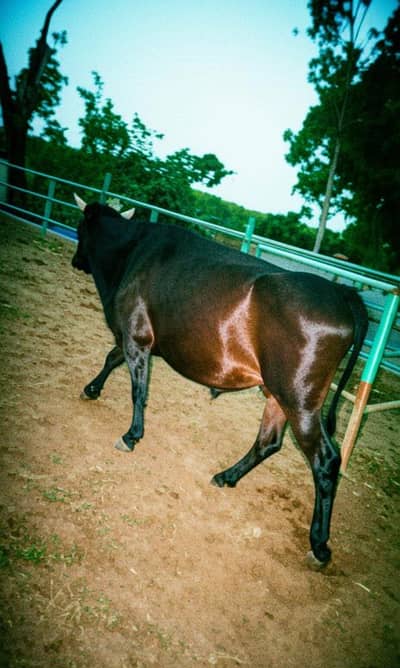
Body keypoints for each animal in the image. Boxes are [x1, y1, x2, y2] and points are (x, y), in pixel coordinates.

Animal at [71, 194, 368, 569]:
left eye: (79, 229)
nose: (76, 261)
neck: (132, 251)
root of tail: (342, 292)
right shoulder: (138, 339)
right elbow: (113, 359)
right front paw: (92, 389)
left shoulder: (135, 335)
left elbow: (137, 387)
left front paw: (130, 435)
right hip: (278, 394)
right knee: (268, 442)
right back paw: (227, 476)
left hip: (301, 400)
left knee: (325, 461)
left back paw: (319, 544)